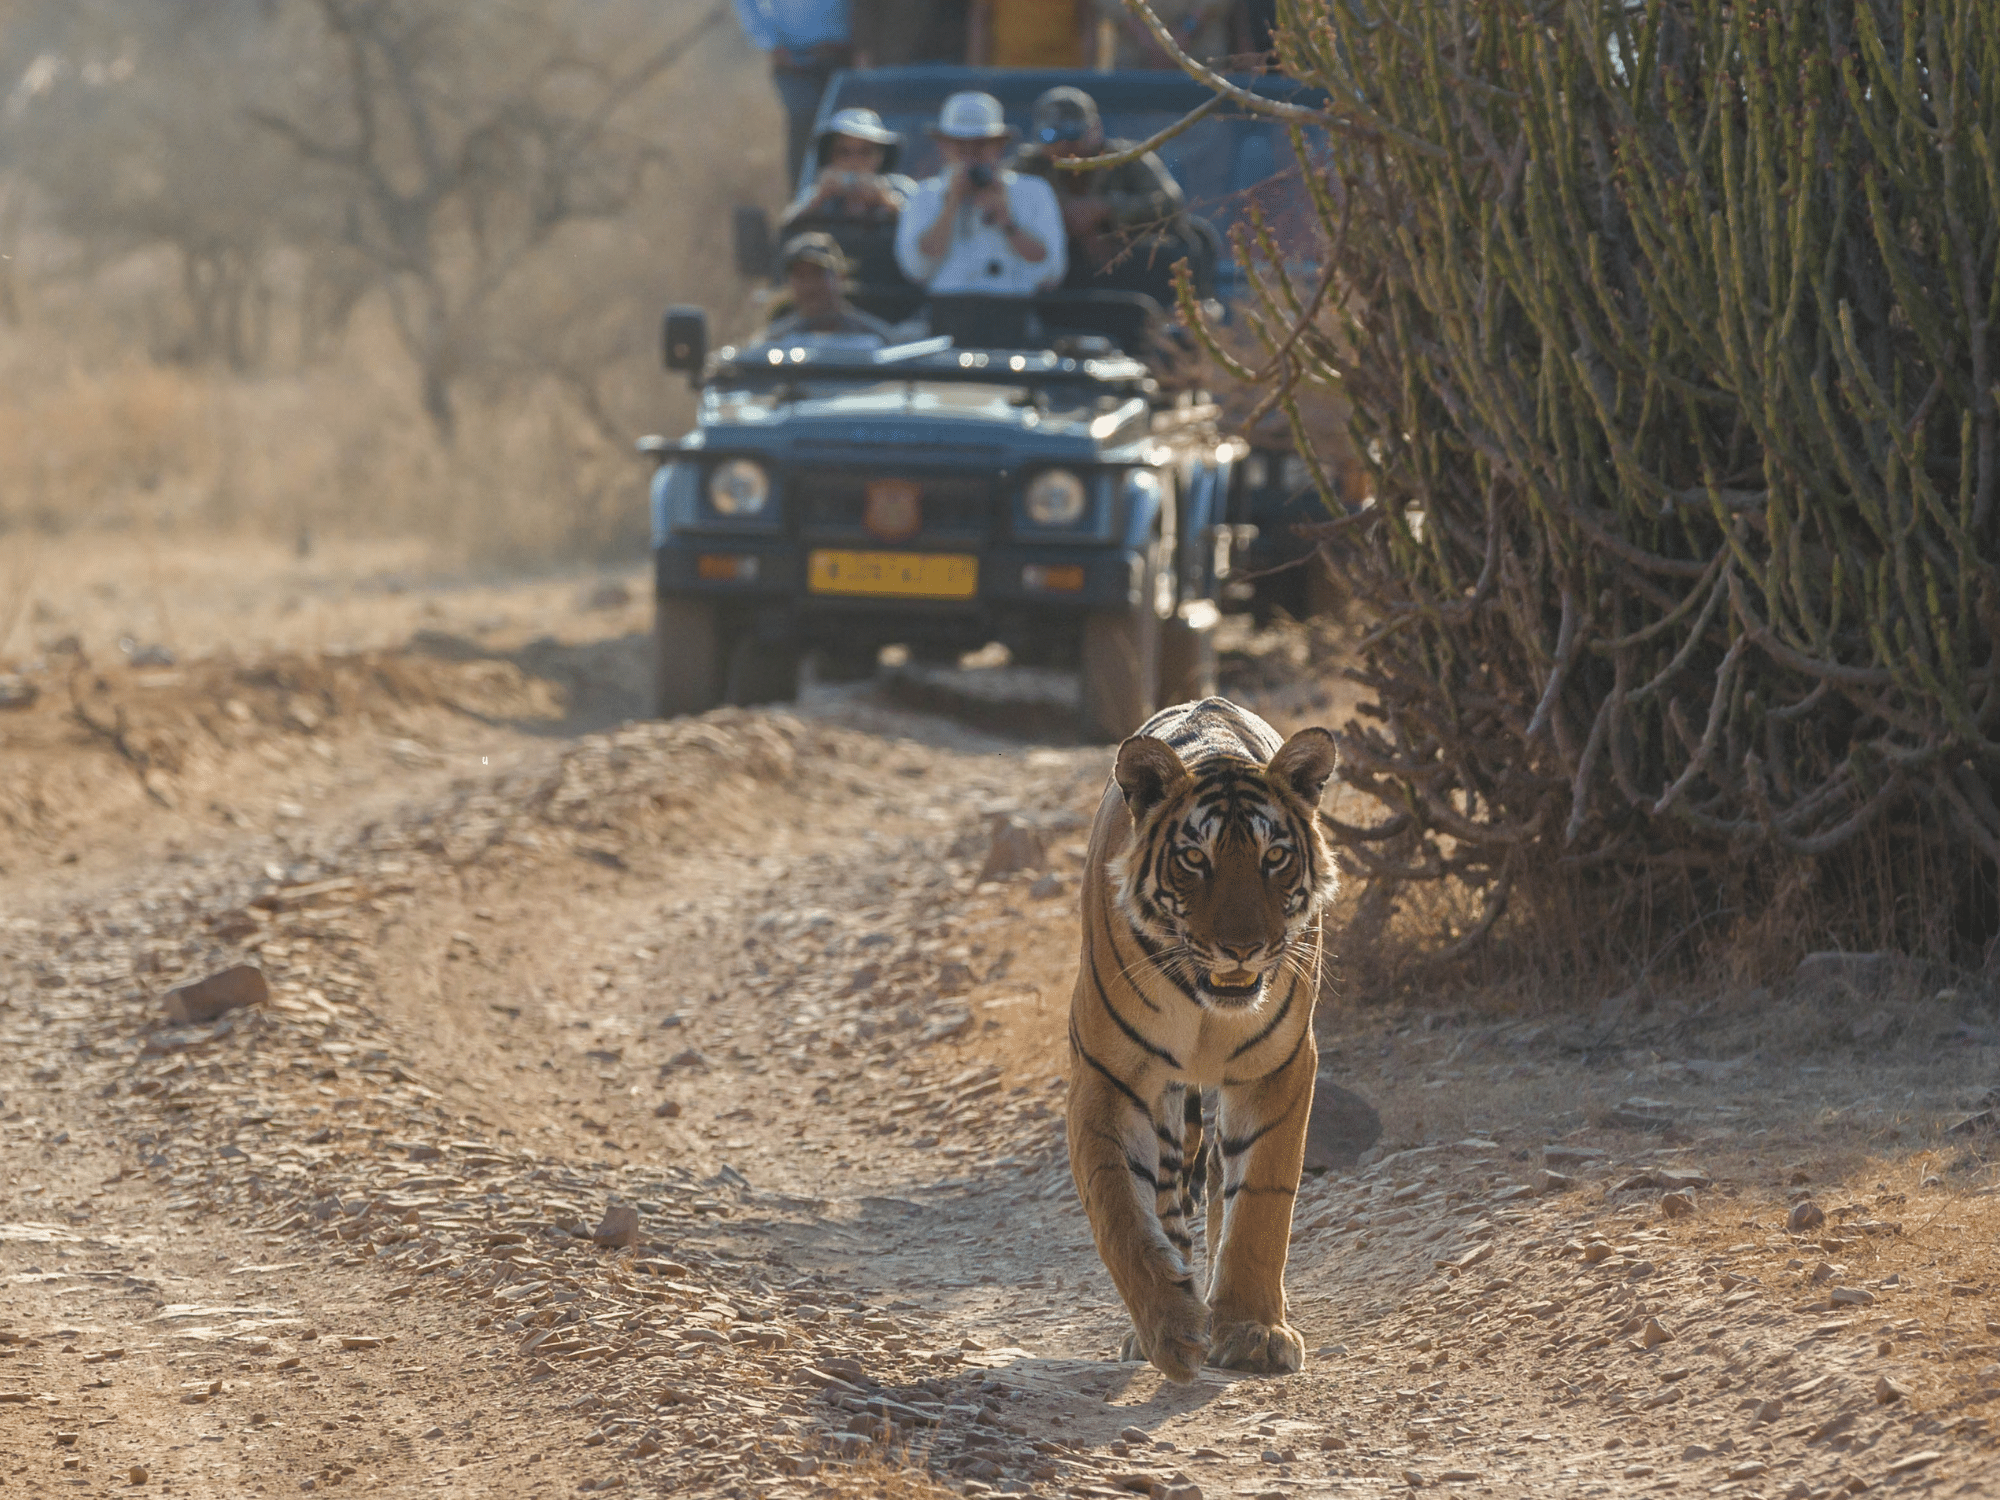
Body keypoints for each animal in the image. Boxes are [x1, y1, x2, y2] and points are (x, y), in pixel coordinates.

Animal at [1065, 696, 1338, 1383]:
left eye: (1275, 857)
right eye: (1195, 859)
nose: (1242, 948)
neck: (1206, 1008)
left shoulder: (1280, 1068)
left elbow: (1260, 1203)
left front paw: (1251, 1330)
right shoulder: (1109, 1078)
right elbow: (1121, 1210)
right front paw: (1171, 1328)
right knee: (1167, 1196)